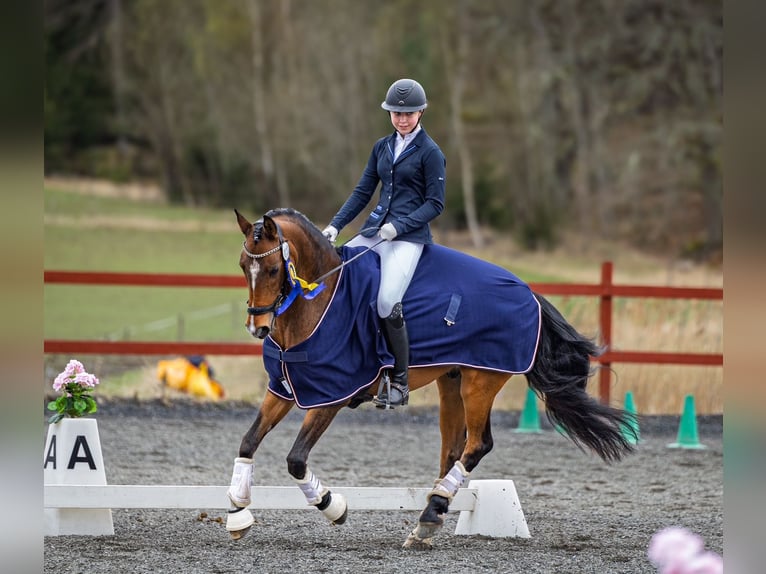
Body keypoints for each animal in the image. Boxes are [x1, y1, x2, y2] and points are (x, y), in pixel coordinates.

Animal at [226, 207, 636, 549]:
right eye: (243, 265)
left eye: (274, 270)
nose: (258, 328)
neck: (318, 303)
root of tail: (529, 293)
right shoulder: (283, 389)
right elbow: (248, 441)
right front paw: (237, 513)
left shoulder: (332, 396)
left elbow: (296, 459)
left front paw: (333, 506)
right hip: (451, 380)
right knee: (453, 448)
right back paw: (429, 518)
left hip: (480, 382)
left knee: (478, 444)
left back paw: (430, 513)